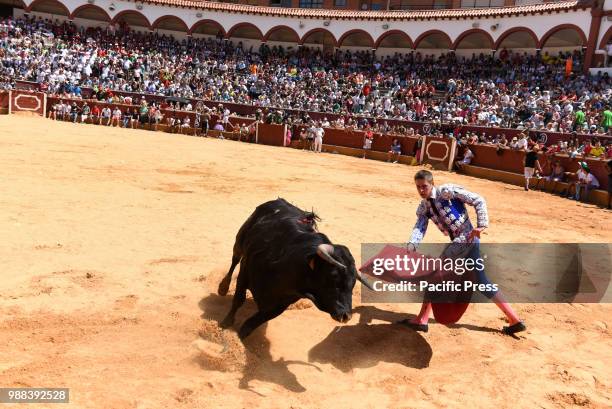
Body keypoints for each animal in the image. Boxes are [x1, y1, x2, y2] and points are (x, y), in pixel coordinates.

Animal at [220, 198, 372, 338]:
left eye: (353, 283)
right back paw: (223, 288)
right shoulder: (244, 271)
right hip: (239, 241)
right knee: (234, 260)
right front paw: (225, 323)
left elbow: (249, 325)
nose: (346, 316)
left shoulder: (279, 305)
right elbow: (238, 300)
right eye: (333, 276)